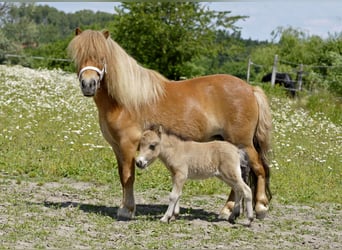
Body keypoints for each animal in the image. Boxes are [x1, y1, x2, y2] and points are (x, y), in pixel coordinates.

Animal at [67, 28, 272, 220]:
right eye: (78, 55)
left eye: (101, 56)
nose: (88, 84)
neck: (124, 101)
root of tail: (250, 89)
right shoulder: (117, 148)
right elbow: (122, 176)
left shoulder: (128, 145)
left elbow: (128, 176)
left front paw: (127, 210)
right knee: (240, 176)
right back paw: (228, 211)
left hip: (243, 143)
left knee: (258, 170)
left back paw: (260, 208)